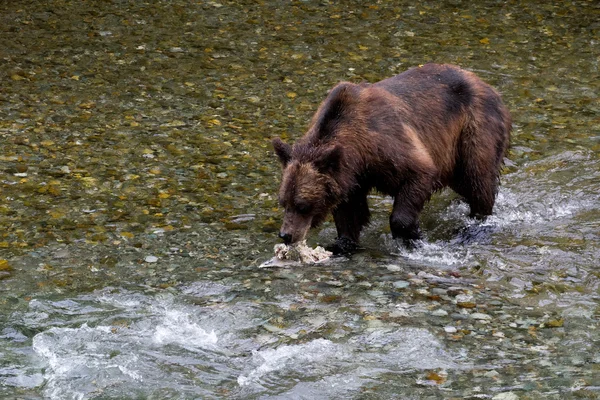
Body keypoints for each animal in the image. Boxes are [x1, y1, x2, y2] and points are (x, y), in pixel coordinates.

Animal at [272, 64, 510, 255]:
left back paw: (474, 225)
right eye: (284, 202)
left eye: (303, 205)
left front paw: (412, 235)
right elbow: (350, 213)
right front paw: (342, 244)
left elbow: (419, 173)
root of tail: (489, 86)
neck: (358, 151)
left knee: (478, 178)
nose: (286, 235)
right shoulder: (351, 176)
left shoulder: (387, 143)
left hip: (474, 129)